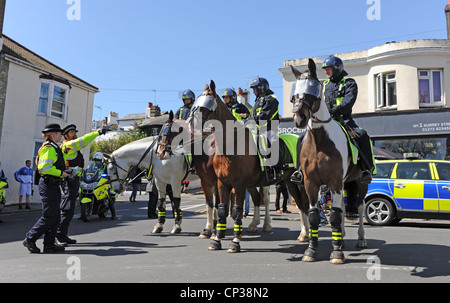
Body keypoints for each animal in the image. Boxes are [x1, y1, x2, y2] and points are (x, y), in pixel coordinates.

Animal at [186, 81, 310, 254]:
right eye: (195, 105)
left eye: (206, 107)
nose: (190, 126)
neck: (230, 146)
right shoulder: (221, 183)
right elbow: (222, 208)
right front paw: (216, 239)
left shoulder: (238, 184)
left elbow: (237, 211)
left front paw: (235, 242)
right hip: (279, 182)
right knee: (267, 200)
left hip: (294, 182)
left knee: (301, 204)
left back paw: (304, 233)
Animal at [290, 58, 368, 264]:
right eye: (294, 96)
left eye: (311, 92)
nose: (299, 119)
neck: (320, 142)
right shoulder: (311, 184)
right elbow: (315, 216)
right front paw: (311, 251)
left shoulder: (334, 182)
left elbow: (333, 216)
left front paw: (337, 253)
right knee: (342, 208)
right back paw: (341, 238)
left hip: (360, 183)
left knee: (360, 207)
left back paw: (361, 239)